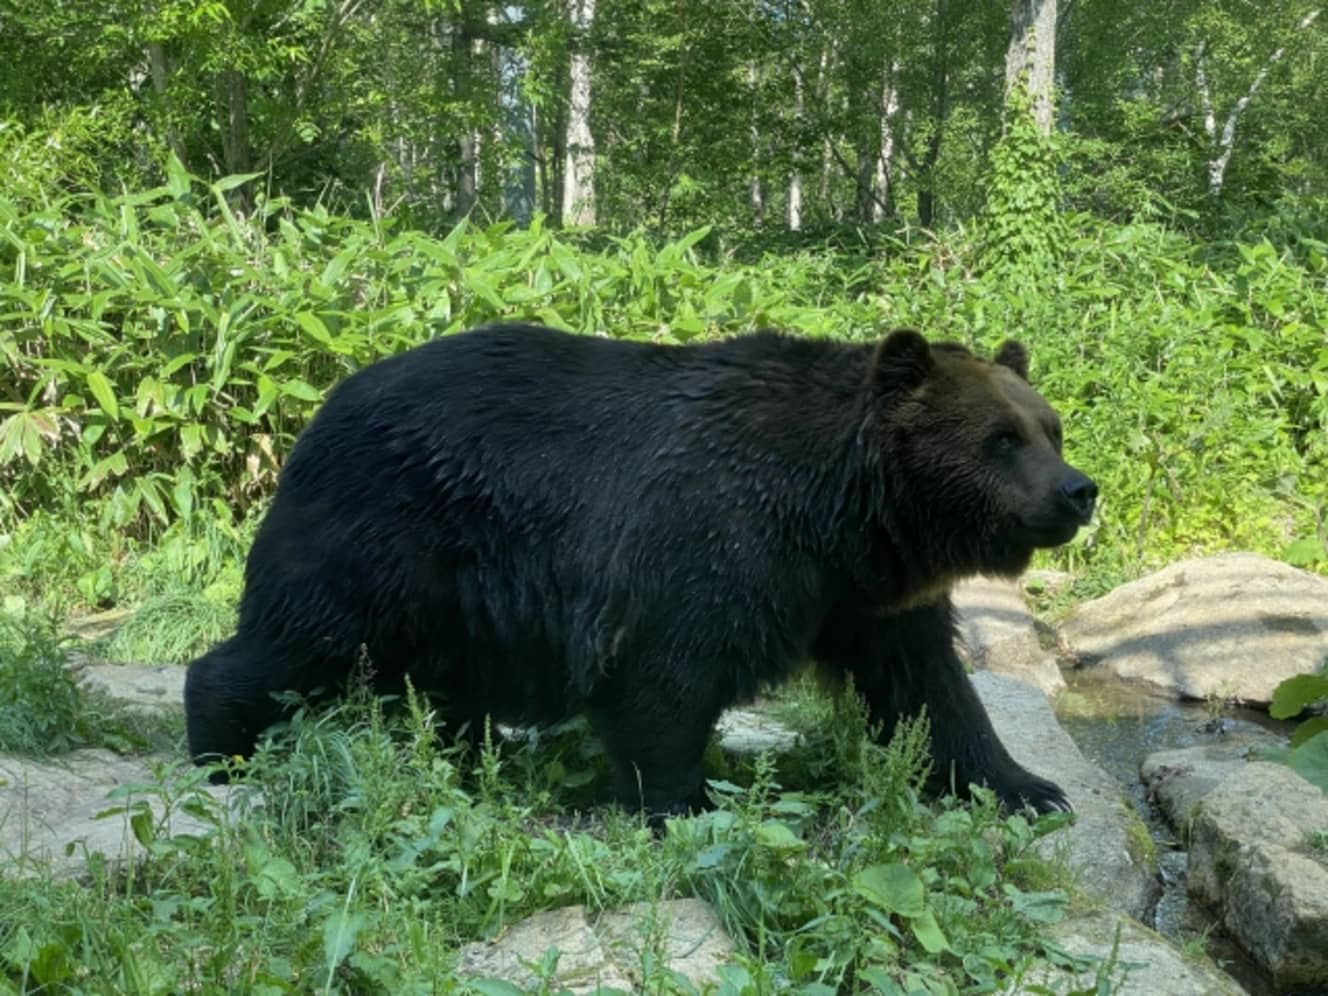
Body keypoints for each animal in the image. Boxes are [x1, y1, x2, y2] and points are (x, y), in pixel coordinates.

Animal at [187, 325, 1099, 818]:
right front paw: (679, 800)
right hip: (386, 542)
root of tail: (318, 413)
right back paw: (219, 746)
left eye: (1049, 427)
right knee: (306, 637)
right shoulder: (716, 541)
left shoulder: (865, 596)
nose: (1077, 490)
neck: (840, 513)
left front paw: (1027, 787)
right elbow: (668, 676)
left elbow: (929, 689)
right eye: (1000, 439)